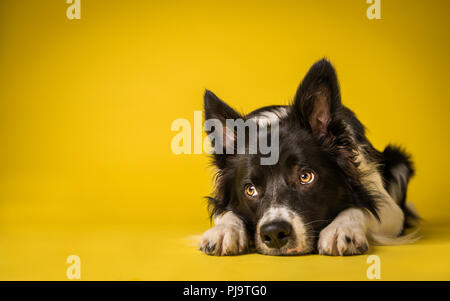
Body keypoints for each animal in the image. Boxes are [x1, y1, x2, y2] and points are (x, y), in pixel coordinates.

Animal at [198, 59, 418, 255]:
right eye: (250, 190)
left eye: (305, 176)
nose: (274, 234)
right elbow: (227, 213)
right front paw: (223, 231)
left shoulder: (390, 209)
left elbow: (360, 208)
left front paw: (341, 229)